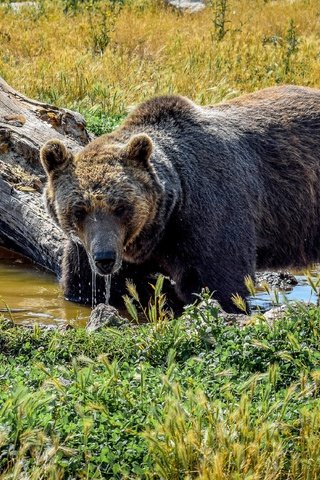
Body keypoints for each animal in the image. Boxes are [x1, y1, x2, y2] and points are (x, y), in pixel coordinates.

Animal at [41, 84, 320, 314]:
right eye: (79, 210)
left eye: (121, 207)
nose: (105, 259)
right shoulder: (86, 243)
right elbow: (83, 283)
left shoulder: (211, 214)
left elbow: (218, 283)